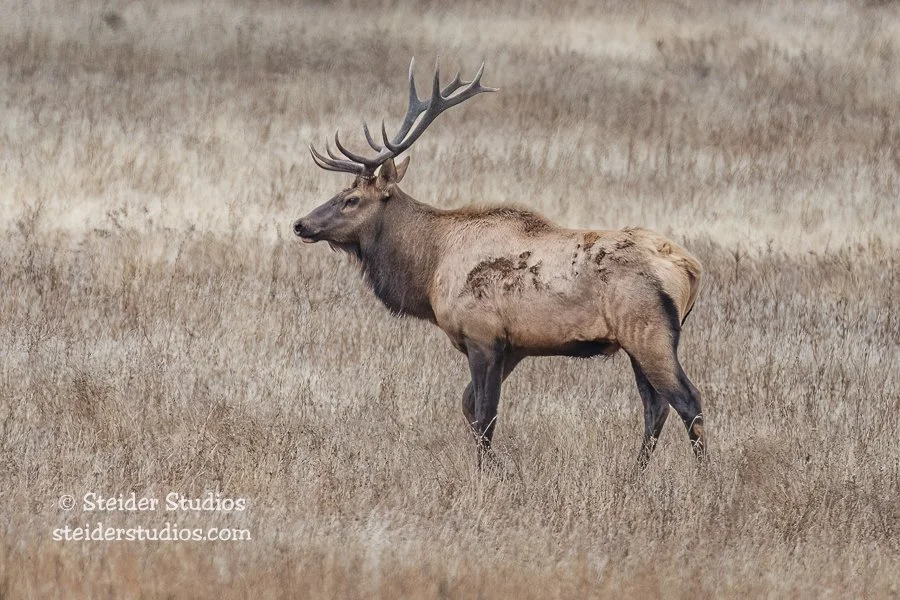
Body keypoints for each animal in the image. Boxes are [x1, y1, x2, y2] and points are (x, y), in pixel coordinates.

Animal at [293, 59, 705, 468]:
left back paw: (701, 473)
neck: (430, 271)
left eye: (351, 200)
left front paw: (487, 471)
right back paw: (635, 474)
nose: (300, 224)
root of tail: (692, 269)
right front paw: (496, 467)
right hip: (636, 341)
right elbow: (469, 406)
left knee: (688, 401)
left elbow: (484, 413)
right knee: (656, 408)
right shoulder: (513, 346)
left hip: (648, 330)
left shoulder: (483, 336)